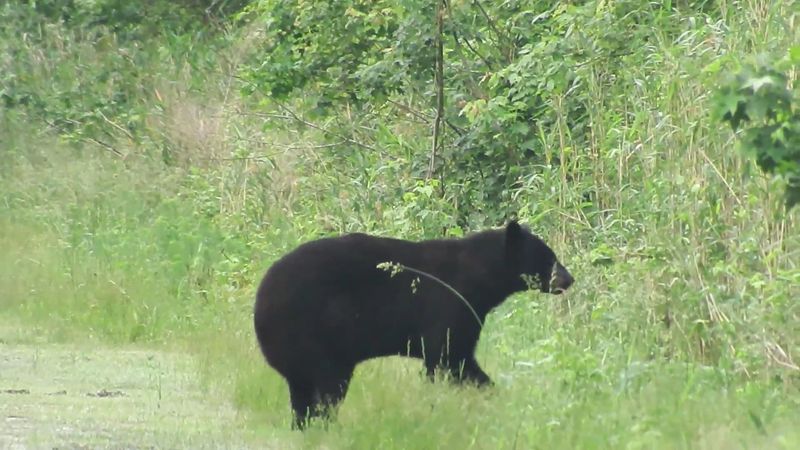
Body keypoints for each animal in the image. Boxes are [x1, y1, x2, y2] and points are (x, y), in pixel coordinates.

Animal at [253, 221, 573, 429]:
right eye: (549, 258)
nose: (568, 279)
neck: (480, 277)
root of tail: (260, 304)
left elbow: (457, 358)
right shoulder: (449, 306)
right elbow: (448, 358)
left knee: (303, 395)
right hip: (315, 338)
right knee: (327, 389)